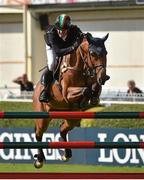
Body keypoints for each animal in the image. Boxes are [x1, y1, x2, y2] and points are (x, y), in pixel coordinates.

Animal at [32, 32, 109, 169]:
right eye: (93, 53)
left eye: (106, 53)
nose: (103, 77)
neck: (82, 66)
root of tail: (35, 90)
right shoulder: (67, 93)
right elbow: (85, 90)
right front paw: (85, 100)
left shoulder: (95, 82)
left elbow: (95, 87)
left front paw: (92, 99)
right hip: (42, 117)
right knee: (38, 134)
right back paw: (39, 160)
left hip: (72, 118)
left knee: (62, 129)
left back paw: (66, 155)